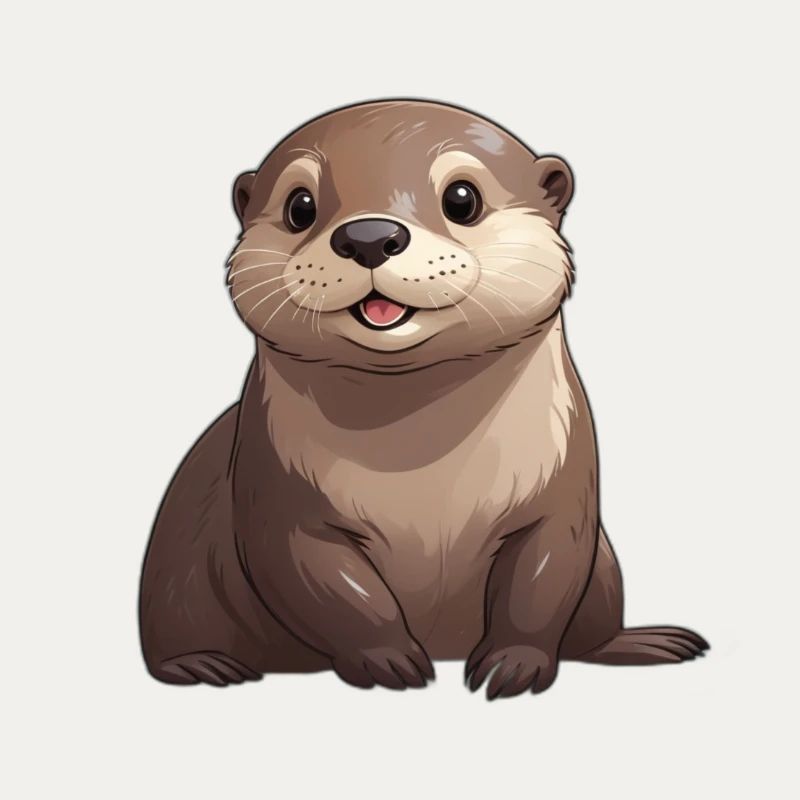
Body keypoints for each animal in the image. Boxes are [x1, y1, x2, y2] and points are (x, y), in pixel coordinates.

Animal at [139, 99, 708, 699]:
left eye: (462, 198)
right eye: (300, 207)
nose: (368, 235)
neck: (424, 476)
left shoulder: (562, 490)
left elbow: (542, 579)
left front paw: (514, 664)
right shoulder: (277, 494)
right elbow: (329, 587)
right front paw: (387, 660)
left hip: (604, 574)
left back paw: (646, 642)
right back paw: (203, 666)